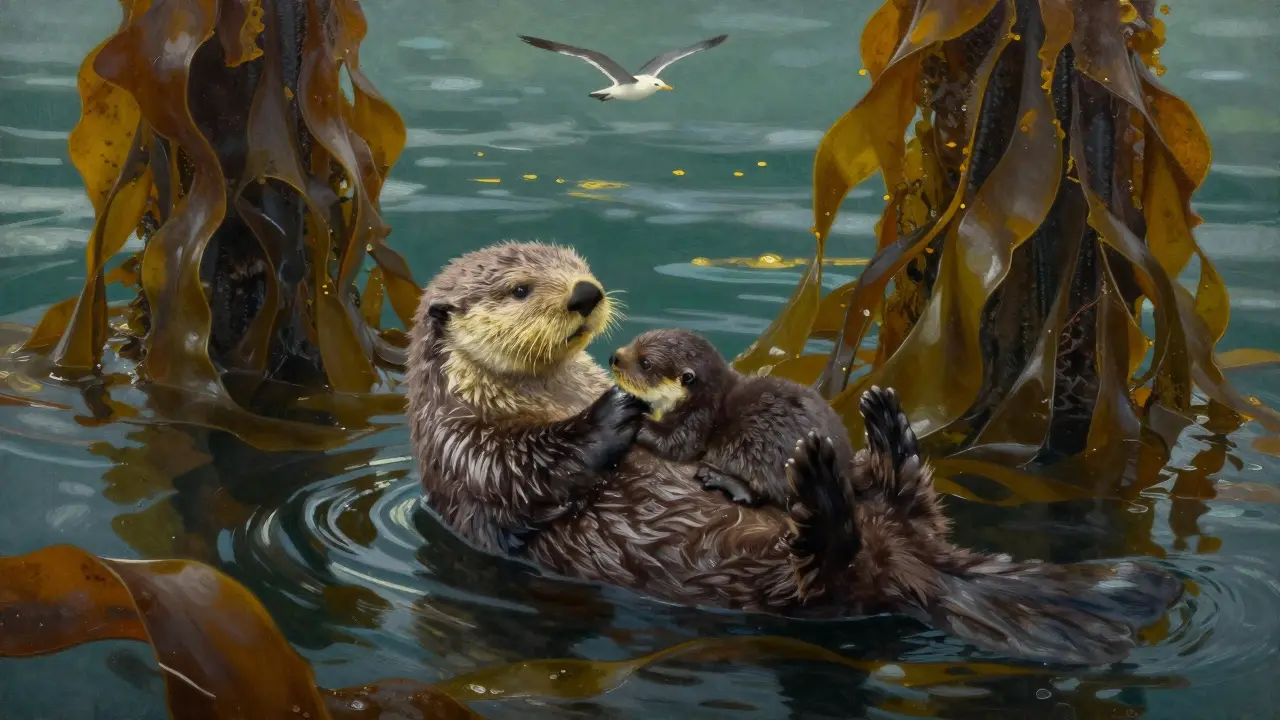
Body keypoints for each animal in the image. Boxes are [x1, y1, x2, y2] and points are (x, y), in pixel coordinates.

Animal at [609, 327, 859, 510]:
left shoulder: (698, 418)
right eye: (634, 342)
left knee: (764, 497)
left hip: (770, 457)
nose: (614, 357)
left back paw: (718, 478)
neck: (704, 395)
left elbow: (675, 445)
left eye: (645, 363)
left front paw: (639, 421)